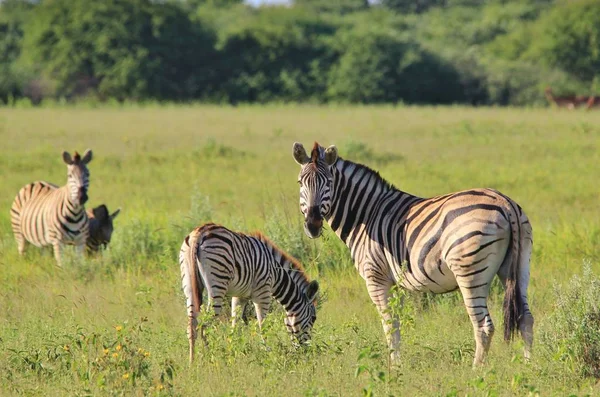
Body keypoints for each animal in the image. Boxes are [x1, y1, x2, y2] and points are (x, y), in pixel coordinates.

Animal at [179, 221, 322, 364]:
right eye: (313, 318)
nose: (307, 351)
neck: (276, 273)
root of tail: (199, 233)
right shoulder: (263, 293)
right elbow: (262, 325)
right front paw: (269, 354)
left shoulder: (239, 296)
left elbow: (235, 325)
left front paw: (232, 353)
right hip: (217, 283)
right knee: (204, 325)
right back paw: (210, 358)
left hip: (189, 284)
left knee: (191, 325)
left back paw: (192, 362)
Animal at [292, 142, 532, 366]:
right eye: (300, 183)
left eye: (329, 182)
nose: (312, 225)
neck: (366, 215)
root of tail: (505, 203)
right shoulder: (396, 282)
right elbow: (396, 323)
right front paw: (398, 363)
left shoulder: (375, 278)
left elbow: (389, 324)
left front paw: (393, 367)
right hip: (519, 267)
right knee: (525, 318)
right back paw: (529, 366)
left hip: (470, 271)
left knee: (484, 326)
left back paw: (476, 371)